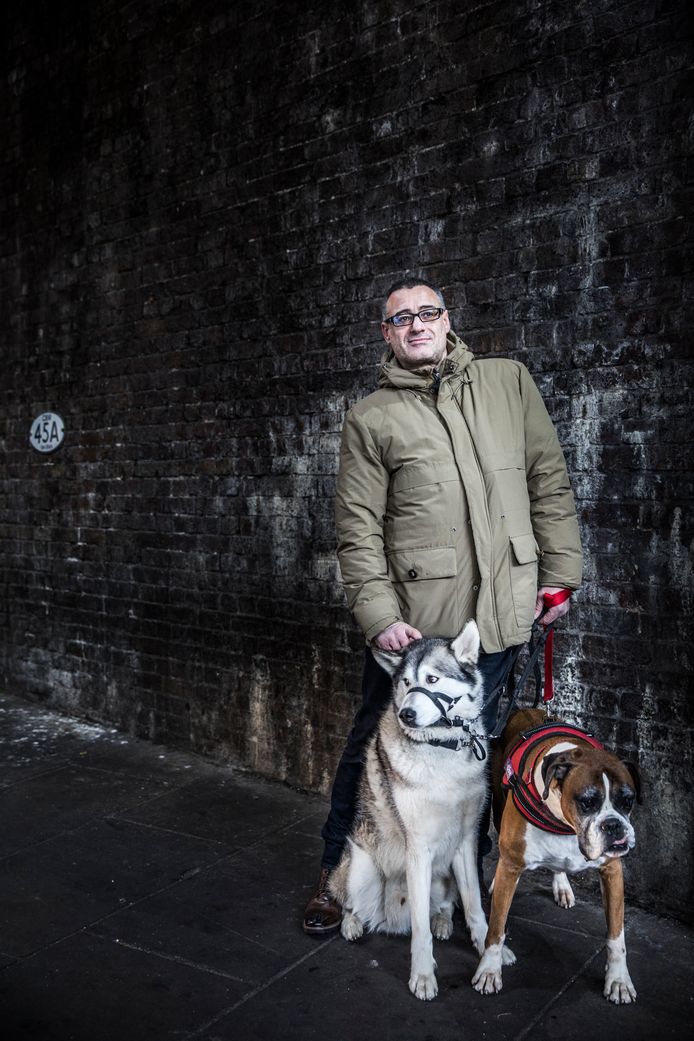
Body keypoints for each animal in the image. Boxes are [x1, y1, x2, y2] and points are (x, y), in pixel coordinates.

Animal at [328, 620, 513, 995]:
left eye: (432, 679)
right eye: (405, 683)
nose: (407, 714)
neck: (442, 750)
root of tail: (389, 919)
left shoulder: (466, 843)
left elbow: (475, 906)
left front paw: (489, 949)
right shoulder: (418, 849)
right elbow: (420, 932)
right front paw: (424, 975)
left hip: (443, 878)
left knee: (443, 905)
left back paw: (443, 921)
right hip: (361, 871)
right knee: (352, 905)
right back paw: (351, 924)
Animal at [472, 707, 640, 999]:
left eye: (628, 801)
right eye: (587, 802)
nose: (613, 825)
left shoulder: (612, 872)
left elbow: (616, 935)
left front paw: (619, 979)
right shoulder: (512, 863)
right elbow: (496, 929)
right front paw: (489, 970)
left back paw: (562, 885)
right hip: (498, 810)